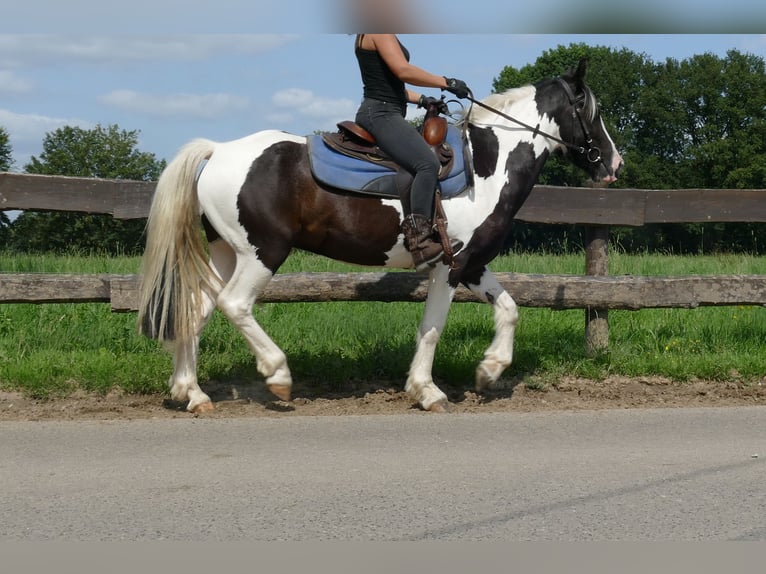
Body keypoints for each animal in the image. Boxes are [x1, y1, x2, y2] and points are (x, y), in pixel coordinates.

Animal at [136, 59, 624, 414]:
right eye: (592, 110)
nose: (613, 164)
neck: (486, 166)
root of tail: (218, 150)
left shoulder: (472, 263)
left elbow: (509, 309)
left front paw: (489, 370)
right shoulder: (448, 265)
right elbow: (432, 327)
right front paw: (427, 391)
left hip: (226, 251)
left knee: (196, 309)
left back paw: (192, 394)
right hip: (262, 252)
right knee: (233, 304)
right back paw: (277, 375)